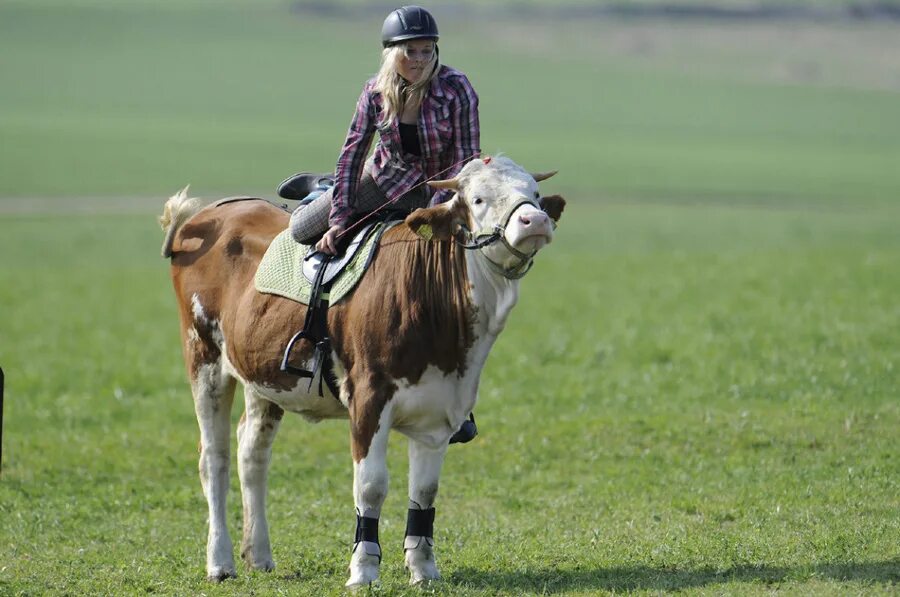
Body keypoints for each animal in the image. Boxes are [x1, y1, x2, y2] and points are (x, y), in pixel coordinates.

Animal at [159, 155, 568, 588]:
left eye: (535, 193)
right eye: (478, 199)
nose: (535, 220)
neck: (430, 293)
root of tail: (205, 216)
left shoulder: (440, 408)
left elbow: (425, 491)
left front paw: (423, 569)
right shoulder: (369, 399)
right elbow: (370, 487)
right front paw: (363, 568)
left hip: (263, 375)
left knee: (252, 453)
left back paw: (259, 555)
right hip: (204, 357)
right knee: (214, 458)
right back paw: (219, 562)